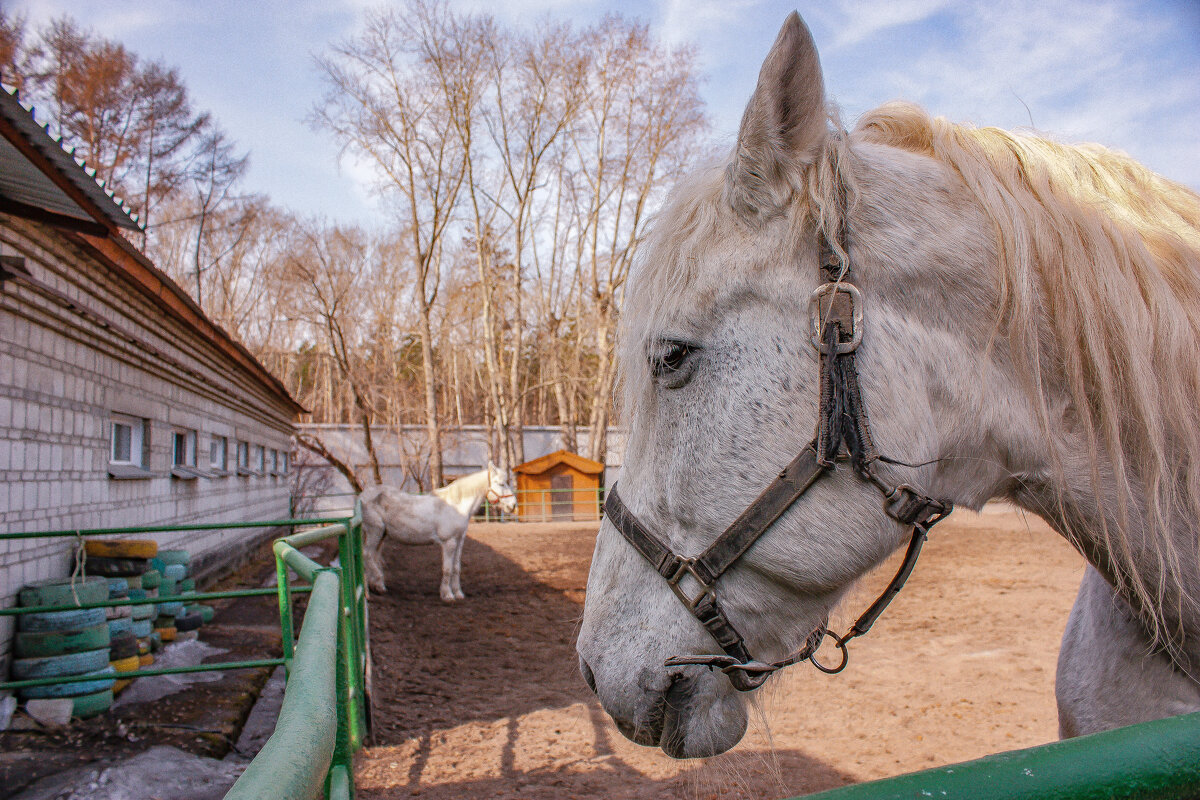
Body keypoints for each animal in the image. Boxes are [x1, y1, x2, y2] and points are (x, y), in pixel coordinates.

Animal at [362, 462, 518, 599]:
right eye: (501, 483)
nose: (513, 505)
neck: (456, 505)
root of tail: (363, 496)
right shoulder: (449, 542)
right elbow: (447, 569)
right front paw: (447, 595)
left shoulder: (459, 541)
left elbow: (456, 568)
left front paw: (458, 593)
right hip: (374, 532)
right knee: (367, 554)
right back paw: (374, 587)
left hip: (382, 535)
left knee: (373, 556)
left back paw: (374, 586)